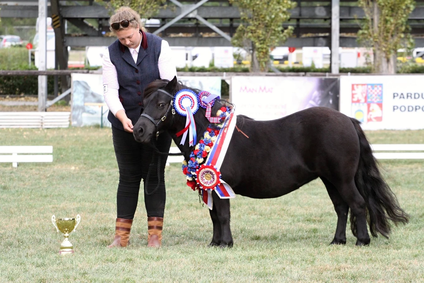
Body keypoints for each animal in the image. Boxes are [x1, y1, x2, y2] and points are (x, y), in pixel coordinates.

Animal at [134, 76, 410, 247]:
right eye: (143, 103)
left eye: (162, 104)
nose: (138, 131)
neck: (208, 132)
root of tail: (348, 120)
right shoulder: (212, 187)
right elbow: (214, 216)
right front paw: (215, 242)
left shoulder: (221, 185)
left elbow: (222, 215)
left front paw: (225, 243)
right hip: (329, 179)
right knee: (341, 207)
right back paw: (337, 240)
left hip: (342, 178)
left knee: (358, 204)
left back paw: (362, 240)